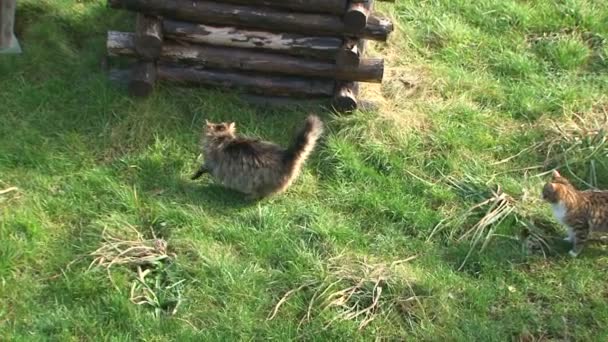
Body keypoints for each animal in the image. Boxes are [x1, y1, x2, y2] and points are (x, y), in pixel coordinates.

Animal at [191, 115, 324, 200]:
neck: (223, 138)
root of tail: (287, 155)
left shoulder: (212, 163)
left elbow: (202, 168)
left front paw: (194, 177)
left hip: (259, 182)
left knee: (260, 194)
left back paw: (248, 197)